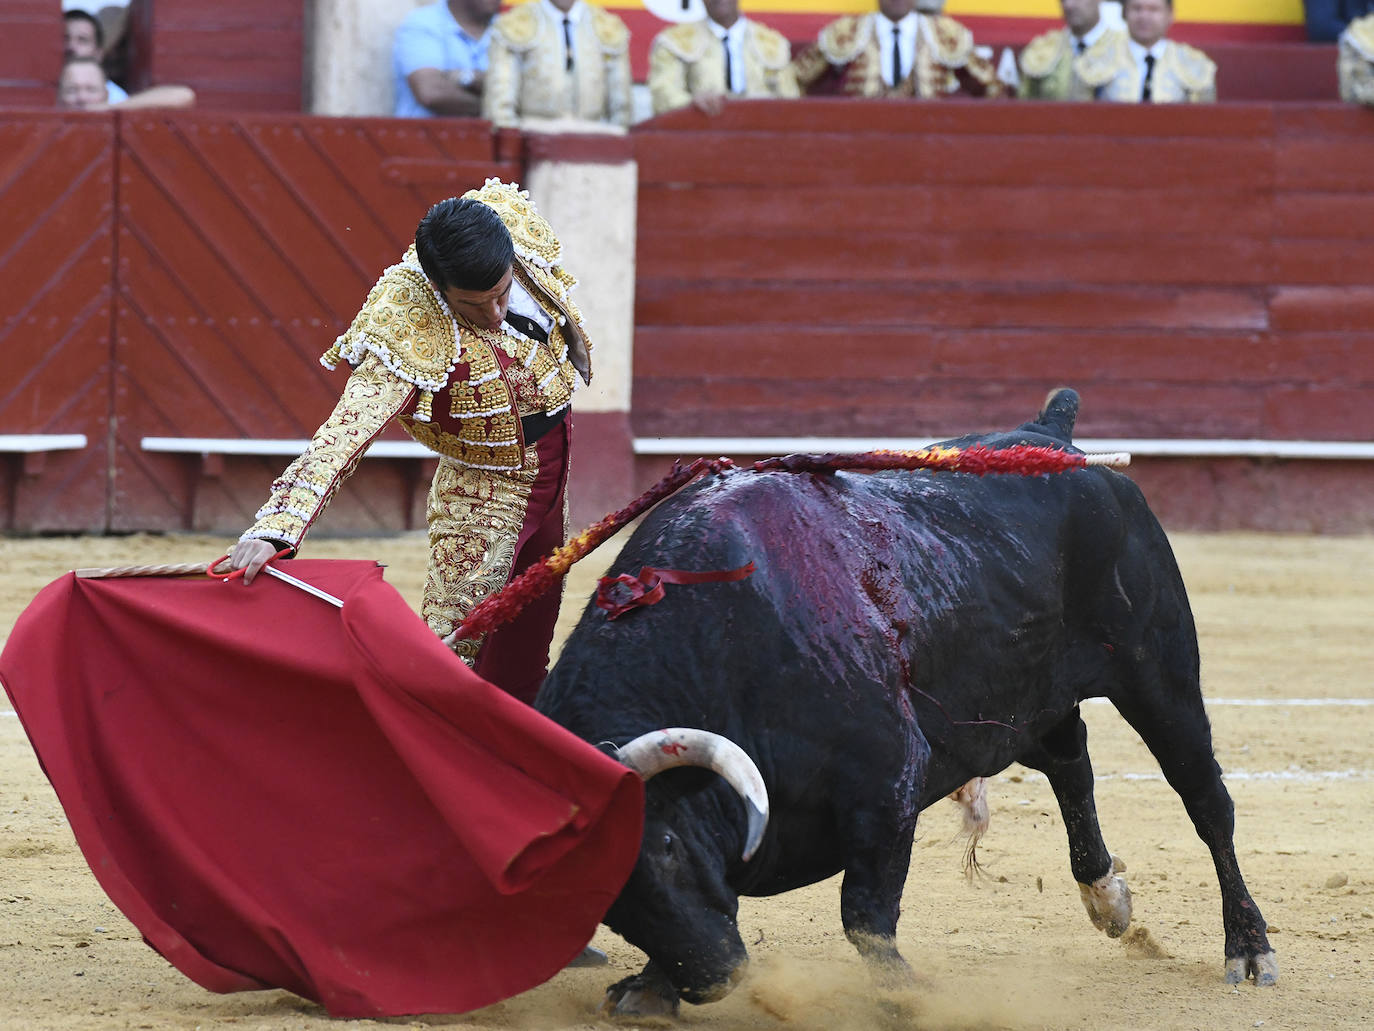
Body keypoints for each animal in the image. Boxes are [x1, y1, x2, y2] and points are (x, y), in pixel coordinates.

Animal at [535, 390, 1275, 1017]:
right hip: (1023, 701)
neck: (721, 643)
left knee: (1205, 798)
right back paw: (1106, 896)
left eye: (663, 843)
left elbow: (864, 913)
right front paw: (651, 986)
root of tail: (1051, 435)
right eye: (595, 896)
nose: (716, 975)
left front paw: (906, 996)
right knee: (1072, 764)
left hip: (1157, 671)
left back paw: (1248, 946)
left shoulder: (887, 776)